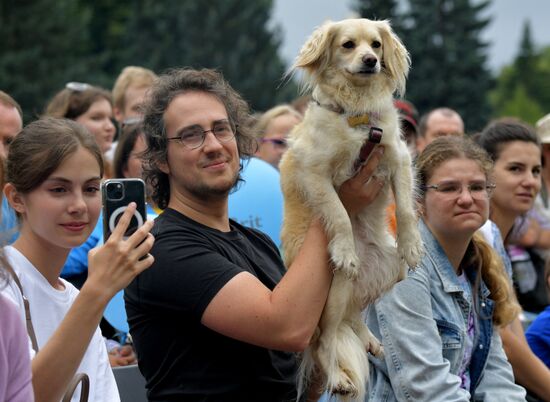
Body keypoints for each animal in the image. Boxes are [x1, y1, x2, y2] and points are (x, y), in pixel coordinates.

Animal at [280, 18, 426, 398]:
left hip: (390, 270)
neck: (357, 113)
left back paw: (370, 340)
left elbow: (406, 209)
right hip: (333, 290)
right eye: (348, 45)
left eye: (376, 45)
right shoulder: (317, 173)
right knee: (325, 340)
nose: (370, 61)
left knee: (354, 315)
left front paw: (412, 244)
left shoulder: (398, 158)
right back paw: (337, 378)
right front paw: (345, 248)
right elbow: (340, 216)